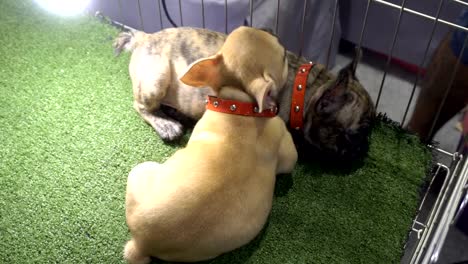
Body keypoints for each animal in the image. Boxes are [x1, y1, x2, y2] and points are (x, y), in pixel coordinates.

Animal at [114, 27, 376, 162]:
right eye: (356, 135)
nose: (365, 148)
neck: (304, 91)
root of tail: (144, 38)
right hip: (156, 80)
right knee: (141, 106)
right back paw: (165, 124)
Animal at [124, 26, 296, 262]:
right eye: (284, 56)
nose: (271, 29)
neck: (239, 104)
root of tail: (140, 244)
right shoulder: (285, 146)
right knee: (141, 106)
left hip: (138, 172)